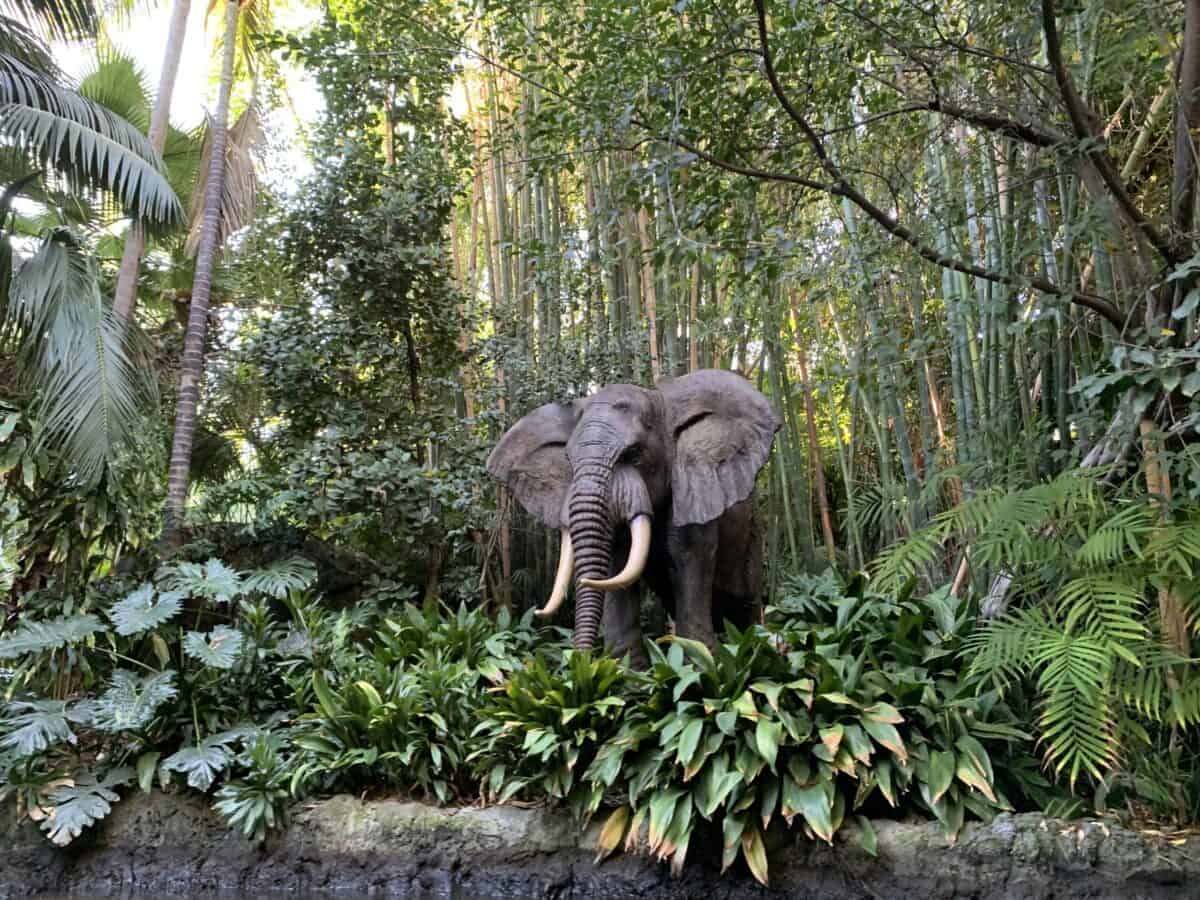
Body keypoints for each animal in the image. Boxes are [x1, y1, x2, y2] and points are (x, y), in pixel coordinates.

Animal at [486, 369, 781, 664]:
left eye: (635, 455)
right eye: (569, 460)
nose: (578, 662)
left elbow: (688, 559)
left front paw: (701, 664)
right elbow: (614, 566)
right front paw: (625, 669)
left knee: (746, 604)